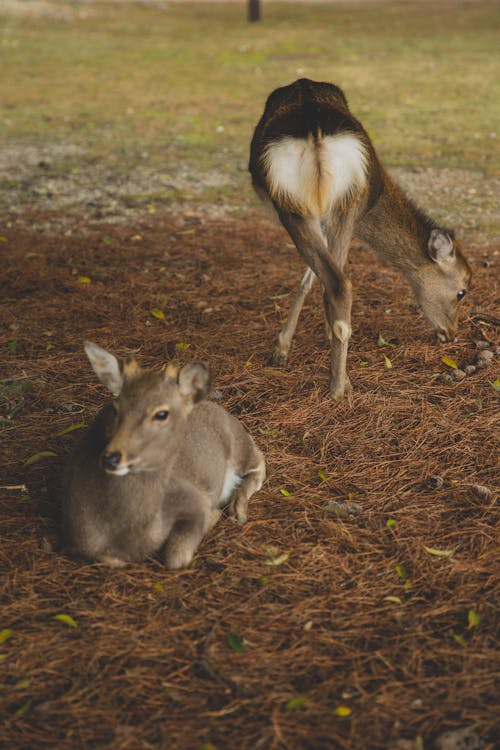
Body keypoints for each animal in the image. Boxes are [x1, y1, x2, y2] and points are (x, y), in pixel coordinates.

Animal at [62, 342, 266, 568]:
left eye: (161, 414)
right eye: (115, 408)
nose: (111, 458)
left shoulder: (195, 498)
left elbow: (176, 558)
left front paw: (214, 516)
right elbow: (110, 559)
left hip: (237, 441)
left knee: (259, 459)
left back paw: (238, 508)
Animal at [250, 78, 472, 400]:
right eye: (462, 291)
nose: (452, 333)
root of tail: (315, 130)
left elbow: (311, 278)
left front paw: (284, 348)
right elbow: (311, 279)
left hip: (301, 205)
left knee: (337, 282)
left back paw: (337, 386)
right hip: (338, 202)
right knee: (339, 283)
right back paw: (340, 384)